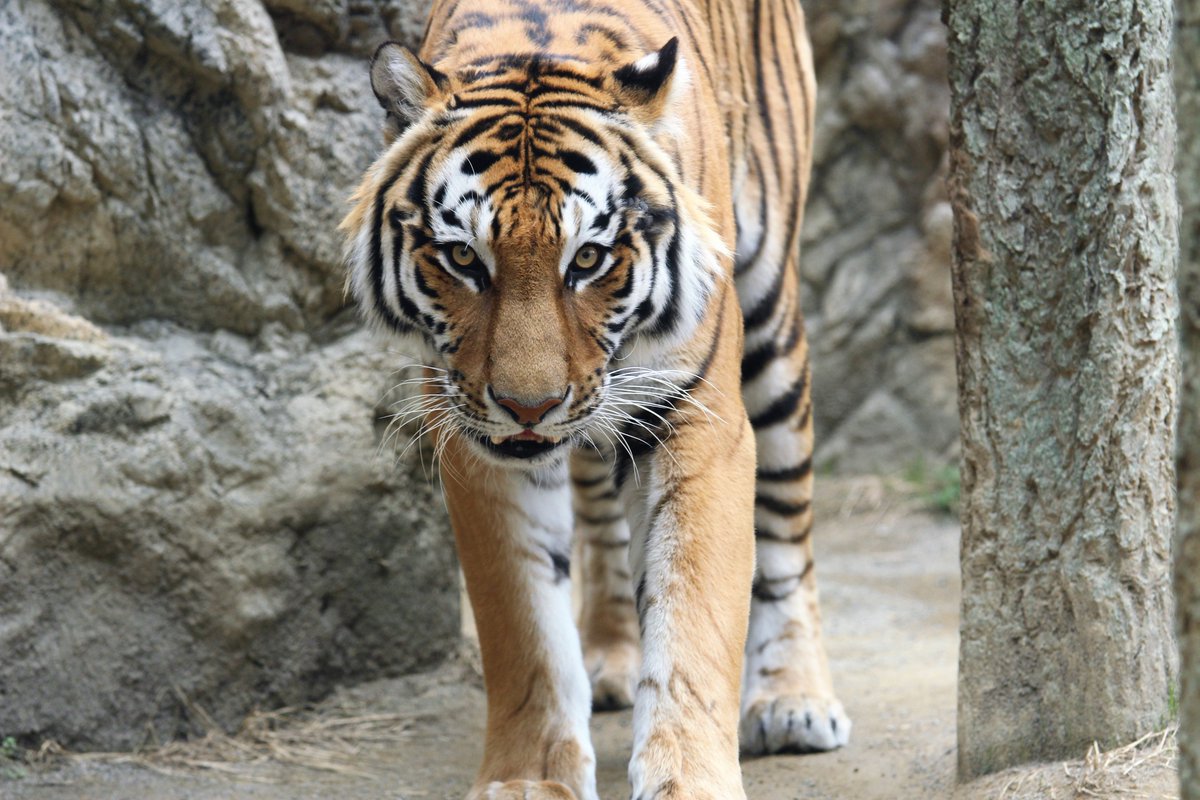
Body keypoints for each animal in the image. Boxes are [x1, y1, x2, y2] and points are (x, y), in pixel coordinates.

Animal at [340, 1, 854, 796]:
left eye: (587, 258)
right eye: (462, 257)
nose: (529, 406)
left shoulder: (695, 419)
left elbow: (693, 610)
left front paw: (690, 778)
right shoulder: (481, 446)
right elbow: (523, 627)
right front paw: (529, 778)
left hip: (771, 309)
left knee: (787, 515)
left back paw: (793, 698)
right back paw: (612, 653)